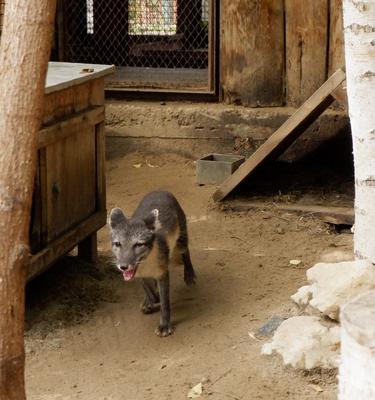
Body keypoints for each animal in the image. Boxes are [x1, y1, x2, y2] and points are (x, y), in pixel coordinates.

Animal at [108, 191, 197, 338]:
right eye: (117, 244)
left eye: (138, 244)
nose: (123, 266)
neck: (146, 264)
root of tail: (161, 190)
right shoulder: (139, 274)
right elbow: (148, 289)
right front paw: (150, 300)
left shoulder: (163, 272)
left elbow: (165, 302)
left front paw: (164, 326)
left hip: (180, 243)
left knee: (186, 252)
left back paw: (189, 275)